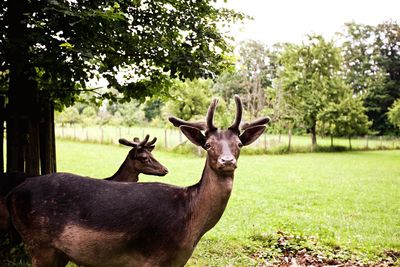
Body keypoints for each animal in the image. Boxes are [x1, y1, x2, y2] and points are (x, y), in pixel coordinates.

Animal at [5, 96, 268, 267]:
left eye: (239, 144)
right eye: (208, 145)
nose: (227, 161)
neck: (190, 223)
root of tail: (13, 193)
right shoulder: (152, 257)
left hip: (57, 253)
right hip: (38, 245)